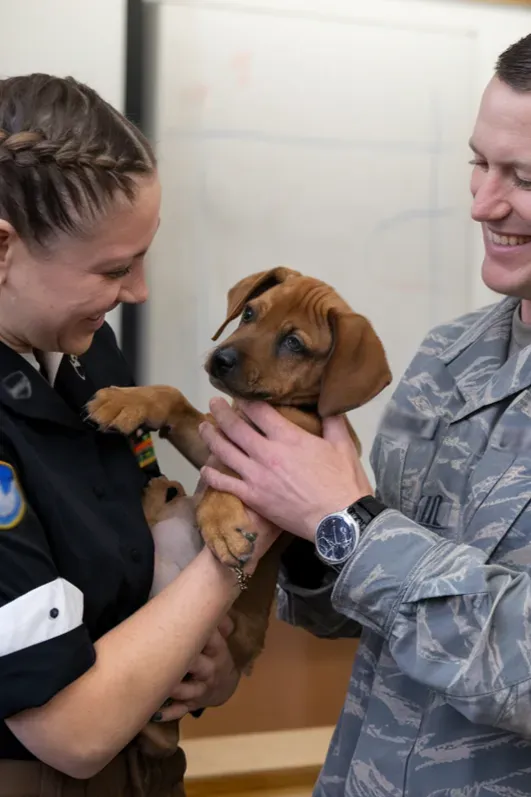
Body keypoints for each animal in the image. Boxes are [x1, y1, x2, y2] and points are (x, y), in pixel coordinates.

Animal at [87, 268, 392, 672]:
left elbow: (232, 471)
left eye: (294, 343)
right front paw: (126, 400)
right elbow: (175, 398)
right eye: (249, 313)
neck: (282, 406)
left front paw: (221, 524)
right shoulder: (212, 440)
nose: (221, 359)